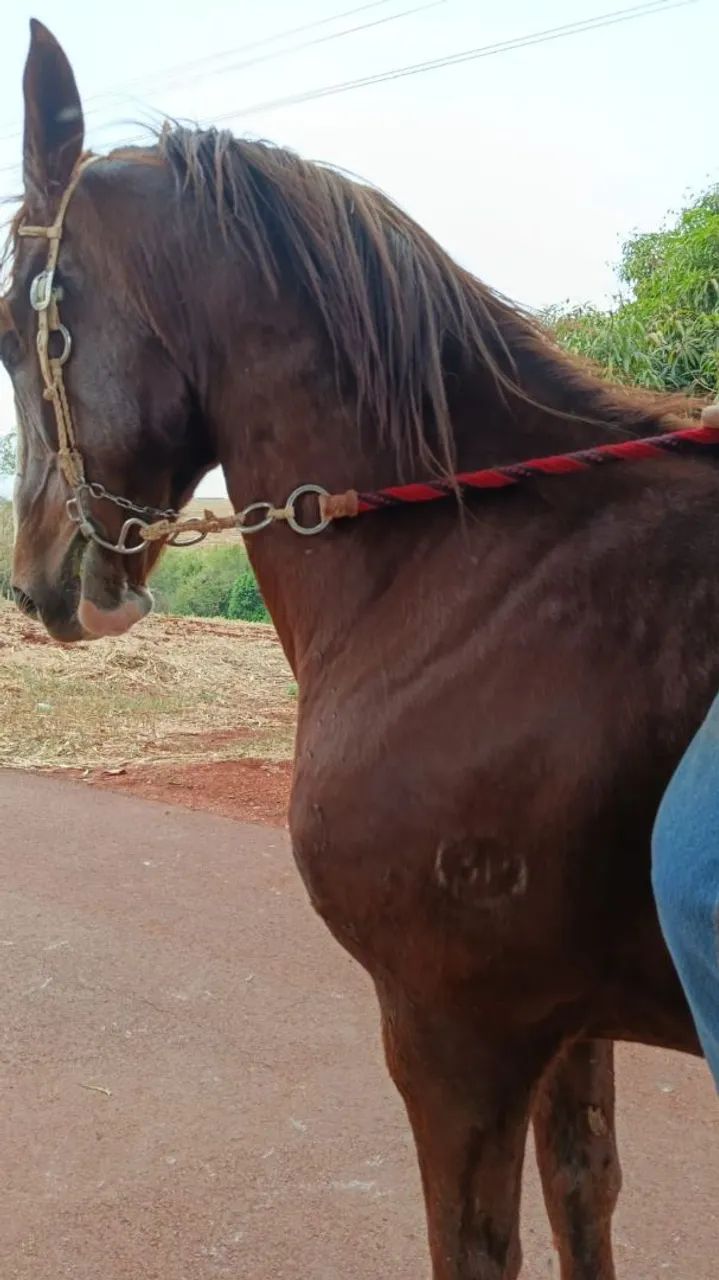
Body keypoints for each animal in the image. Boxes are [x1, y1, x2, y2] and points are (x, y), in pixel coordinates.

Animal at [4, 20, 716, 1280]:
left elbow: (478, 1244)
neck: (464, 564)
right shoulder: (563, 1020)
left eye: (9, 323)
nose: (36, 578)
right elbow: (584, 1190)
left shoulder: (450, 1030)